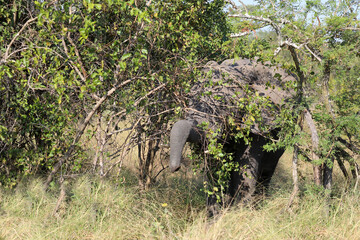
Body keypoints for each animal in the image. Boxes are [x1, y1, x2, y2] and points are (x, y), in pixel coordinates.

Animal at [169, 58, 296, 214]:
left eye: (225, 104)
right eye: (190, 99)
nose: (176, 168)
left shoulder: (258, 121)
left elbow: (244, 168)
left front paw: (242, 213)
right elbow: (216, 170)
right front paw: (217, 216)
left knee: (267, 171)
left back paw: (259, 205)